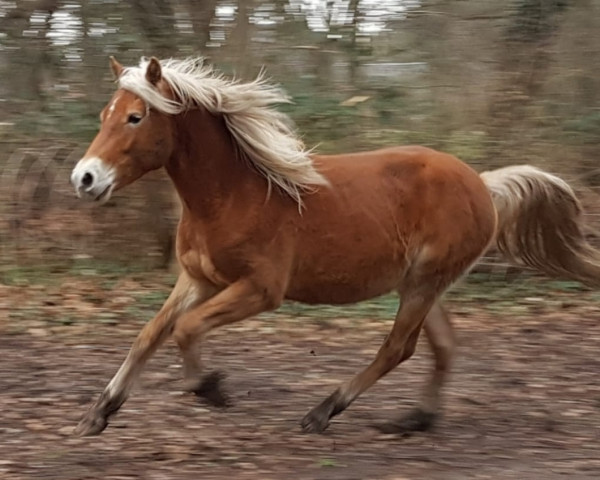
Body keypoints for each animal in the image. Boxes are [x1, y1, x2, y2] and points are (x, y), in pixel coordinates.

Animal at [70, 56, 600, 436]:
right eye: (103, 116)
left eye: (135, 117)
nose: (85, 179)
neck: (236, 193)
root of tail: (484, 186)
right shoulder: (198, 279)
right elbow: (149, 334)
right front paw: (100, 412)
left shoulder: (260, 290)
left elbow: (185, 329)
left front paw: (210, 388)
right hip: (423, 283)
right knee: (442, 346)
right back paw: (414, 420)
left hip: (424, 283)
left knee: (398, 348)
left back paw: (323, 411)